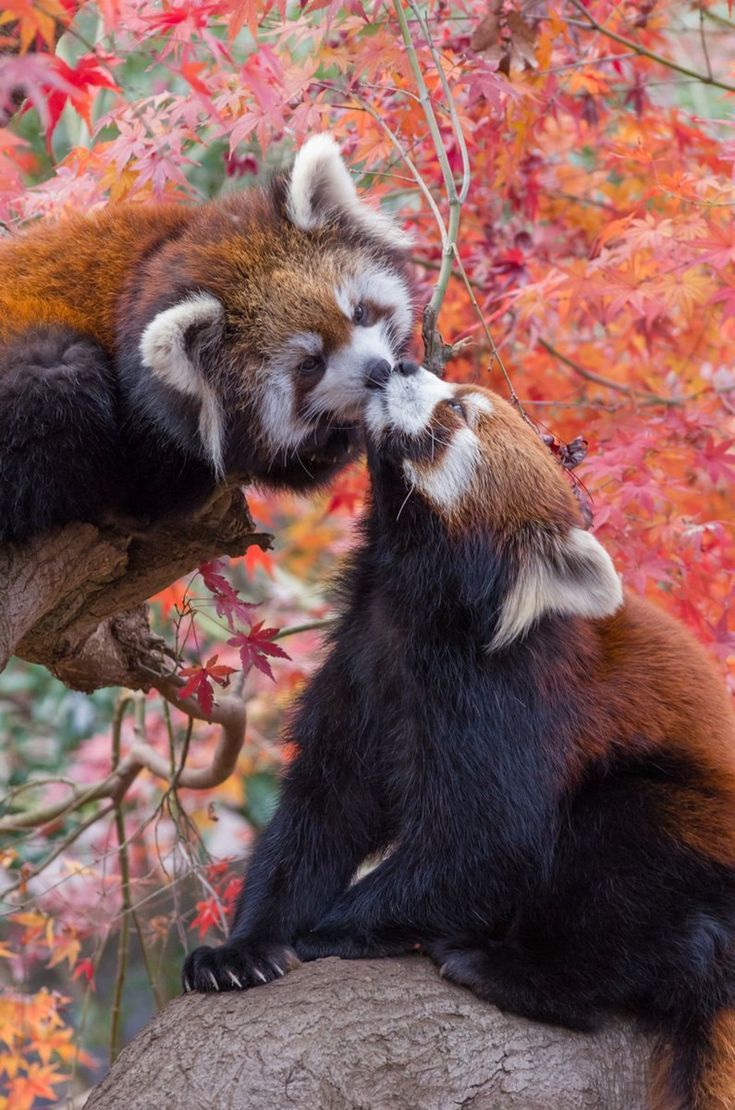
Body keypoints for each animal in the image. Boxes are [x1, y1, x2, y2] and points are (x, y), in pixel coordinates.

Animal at [183, 364, 735, 1110]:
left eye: (459, 412)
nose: (399, 365)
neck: (407, 602)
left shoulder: (509, 701)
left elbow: (484, 844)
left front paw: (331, 930)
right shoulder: (358, 671)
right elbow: (319, 816)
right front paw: (245, 949)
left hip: (694, 832)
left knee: (624, 847)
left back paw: (510, 972)